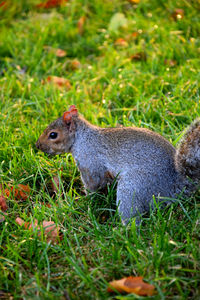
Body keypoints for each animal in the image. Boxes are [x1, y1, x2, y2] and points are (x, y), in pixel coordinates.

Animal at [36, 105, 200, 225]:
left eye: (53, 135)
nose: (38, 145)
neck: (81, 139)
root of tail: (175, 187)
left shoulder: (91, 164)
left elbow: (92, 185)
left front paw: (83, 200)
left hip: (132, 189)